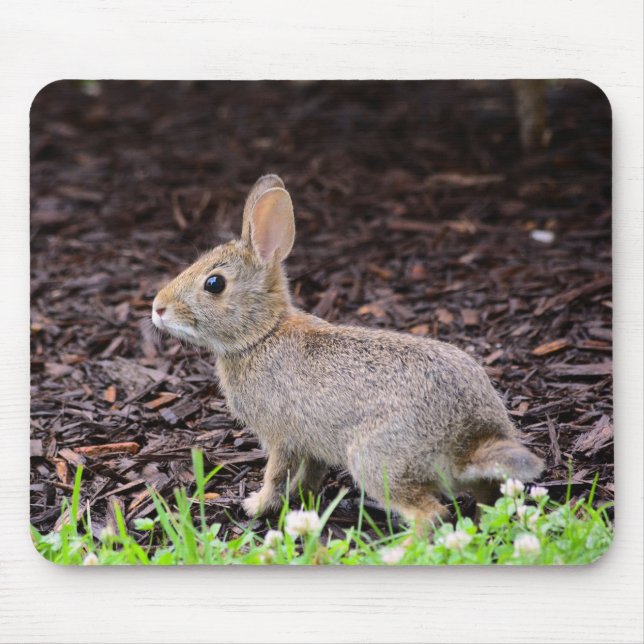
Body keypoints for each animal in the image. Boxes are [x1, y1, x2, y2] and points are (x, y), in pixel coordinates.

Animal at [152, 174, 544, 525]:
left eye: (214, 284)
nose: (157, 308)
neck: (261, 334)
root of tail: (470, 440)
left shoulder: (281, 437)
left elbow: (276, 475)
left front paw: (255, 506)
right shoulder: (310, 443)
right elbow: (310, 473)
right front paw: (302, 498)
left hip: (376, 460)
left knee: (430, 515)